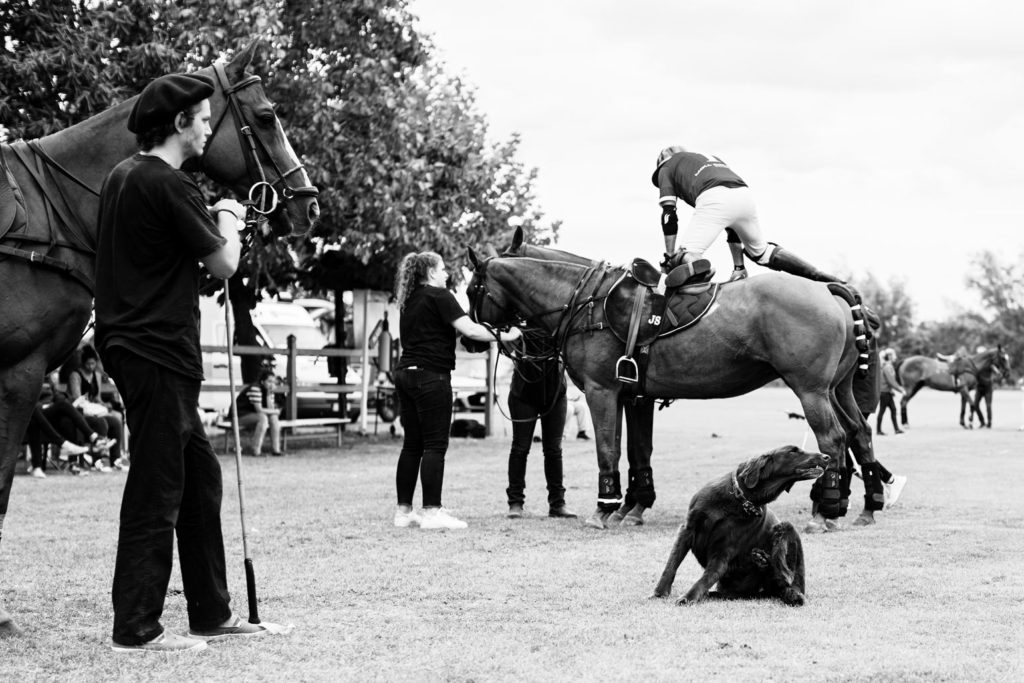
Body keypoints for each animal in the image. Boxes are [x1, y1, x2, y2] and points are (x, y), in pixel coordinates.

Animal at [468, 229, 876, 532]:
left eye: (472, 288)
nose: (471, 341)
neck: (586, 303)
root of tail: (828, 289)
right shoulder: (634, 395)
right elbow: (638, 451)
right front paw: (631, 508)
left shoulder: (603, 391)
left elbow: (608, 450)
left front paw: (605, 509)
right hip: (837, 388)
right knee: (859, 431)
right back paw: (864, 507)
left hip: (810, 389)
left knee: (833, 438)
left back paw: (824, 510)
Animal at [651, 446, 827, 606]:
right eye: (793, 451)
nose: (827, 457)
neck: (740, 499)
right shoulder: (687, 530)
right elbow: (671, 565)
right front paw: (659, 593)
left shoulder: (723, 551)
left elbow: (706, 577)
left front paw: (688, 597)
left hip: (785, 528)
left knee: (785, 579)